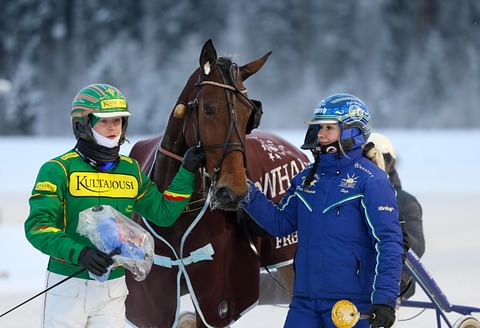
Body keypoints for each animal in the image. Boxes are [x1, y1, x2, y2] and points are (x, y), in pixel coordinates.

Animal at [125, 39, 310, 326]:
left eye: (249, 114)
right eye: (208, 107)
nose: (233, 193)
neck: (176, 213)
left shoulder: (215, 295)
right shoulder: (154, 300)